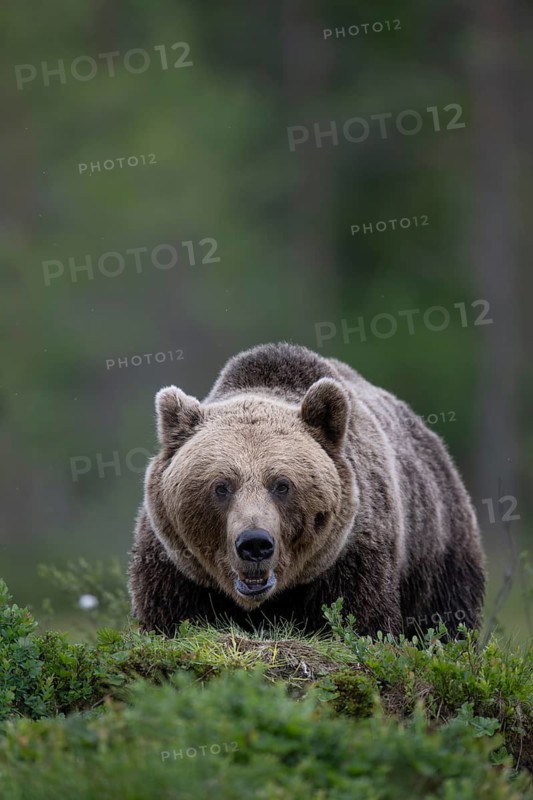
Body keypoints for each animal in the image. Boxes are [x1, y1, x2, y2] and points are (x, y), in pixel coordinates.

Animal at [128, 342, 486, 639]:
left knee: (445, 618)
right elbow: (169, 617)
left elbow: (362, 620)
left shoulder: (351, 554)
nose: (255, 543)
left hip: (436, 551)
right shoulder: (175, 565)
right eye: (221, 486)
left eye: (282, 485)